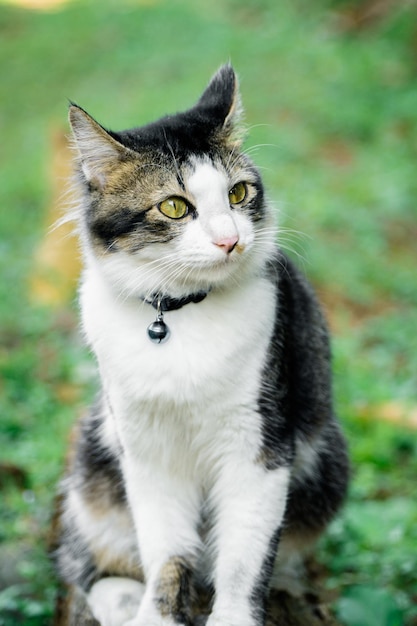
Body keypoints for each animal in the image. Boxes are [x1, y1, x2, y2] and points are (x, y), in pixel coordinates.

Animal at [53, 64, 350, 624]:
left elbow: (241, 562)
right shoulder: (146, 452)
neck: (176, 317)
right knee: (81, 559)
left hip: (329, 465)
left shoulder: (258, 448)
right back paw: (122, 601)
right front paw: (154, 614)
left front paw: (232, 616)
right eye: (174, 206)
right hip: (91, 463)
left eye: (238, 194)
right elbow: (166, 553)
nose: (230, 240)